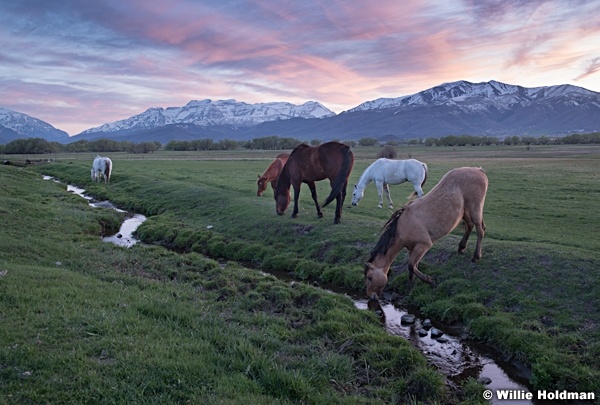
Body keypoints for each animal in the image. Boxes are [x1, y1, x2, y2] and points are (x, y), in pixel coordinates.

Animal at [366, 166, 488, 298]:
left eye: (369, 277)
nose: (370, 296)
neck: (402, 227)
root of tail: (478, 170)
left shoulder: (423, 245)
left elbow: (411, 265)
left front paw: (430, 281)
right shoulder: (411, 249)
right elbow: (412, 267)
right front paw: (409, 289)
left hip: (474, 208)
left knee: (480, 230)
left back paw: (476, 256)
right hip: (465, 211)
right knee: (469, 226)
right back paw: (461, 248)